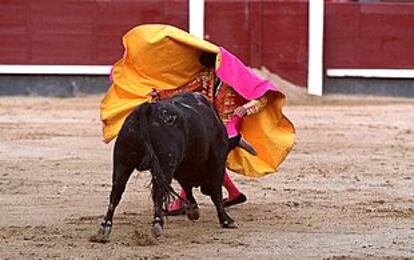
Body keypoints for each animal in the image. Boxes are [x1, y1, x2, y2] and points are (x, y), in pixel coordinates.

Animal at [93, 93, 256, 242]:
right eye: (227, 154)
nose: (205, 189)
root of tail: (148, 108)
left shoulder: (182, 166)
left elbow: (187, 186)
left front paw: (193, 210)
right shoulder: (217, 160)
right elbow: (215, 192)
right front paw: (227, 220)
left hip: (122, 161)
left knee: (116, 191)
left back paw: (105, 228)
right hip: (165, 163)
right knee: (157, 191)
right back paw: (157, 224)